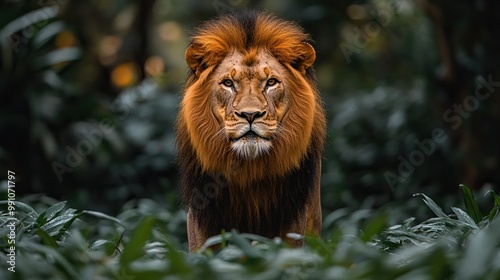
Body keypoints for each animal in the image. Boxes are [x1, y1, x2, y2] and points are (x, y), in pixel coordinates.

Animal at [177, 10, 328, 253]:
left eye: (271, 82)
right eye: (228, 83)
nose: (250, 115)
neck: (249, 168)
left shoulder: (293, 218)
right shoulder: (202, 218)